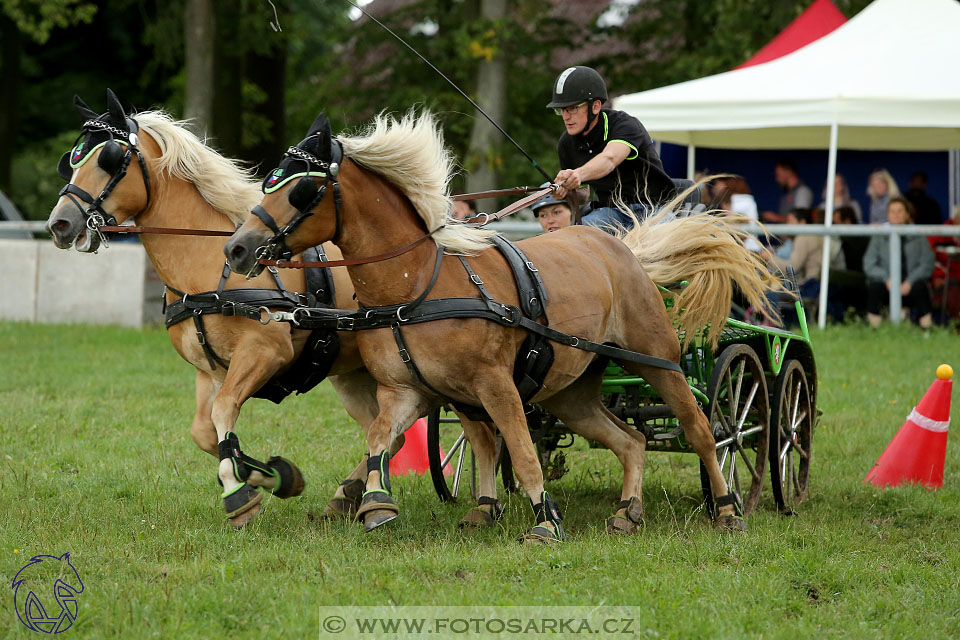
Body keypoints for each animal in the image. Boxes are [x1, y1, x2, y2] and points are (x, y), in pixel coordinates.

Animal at [44, 92, 382, 528]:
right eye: (71, 160)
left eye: (110, 159)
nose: (59, 224)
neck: (206, 267)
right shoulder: (212, 370)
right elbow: (204, 430)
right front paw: (271, 476)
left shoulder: (265, 352)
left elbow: (223, 412)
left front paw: (239, 492)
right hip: (353, 373)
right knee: (382, 424)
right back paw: (348, 494)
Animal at [225, 111, 780, 540]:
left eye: (301, 190)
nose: (236, 248)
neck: (417, 284)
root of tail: (625, 249)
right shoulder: (410, 390)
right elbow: (385, 437)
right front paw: (378, 504)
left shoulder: (495, 385)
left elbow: (520, 448)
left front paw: (545, 521)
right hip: (572, 391)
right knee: (629, 440)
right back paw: (627, 512)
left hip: (659, 361)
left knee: (703, 430)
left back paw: (728, 508)